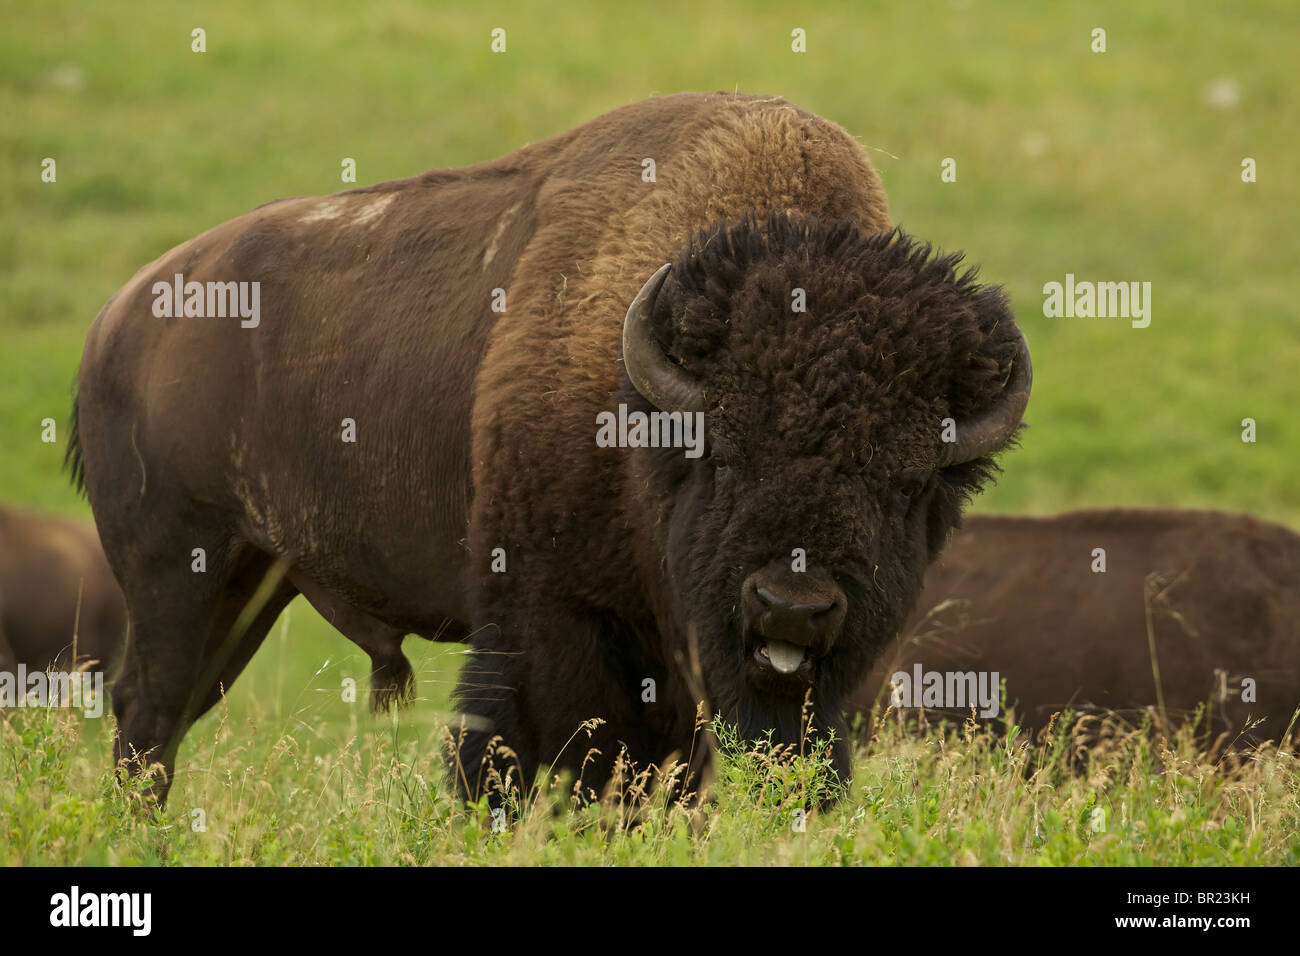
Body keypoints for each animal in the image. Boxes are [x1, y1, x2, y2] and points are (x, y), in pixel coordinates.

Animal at [71, 93, 1029, 806]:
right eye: (718, 454)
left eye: (905, 485)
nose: (790, 607)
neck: (640, 420)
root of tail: (118, 320)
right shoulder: (552, 618)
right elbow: (544, 755)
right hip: (179, 571)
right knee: (149, 712)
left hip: (252, 583)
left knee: (172, 711)